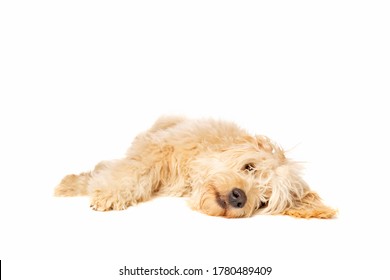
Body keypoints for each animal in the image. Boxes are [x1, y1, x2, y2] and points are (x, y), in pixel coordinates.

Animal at [54, 116, 336, 219]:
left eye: (264, 200)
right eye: (249, 167)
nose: (239, 197)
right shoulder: (155, 150)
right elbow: (128, 172)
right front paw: (106, 193)